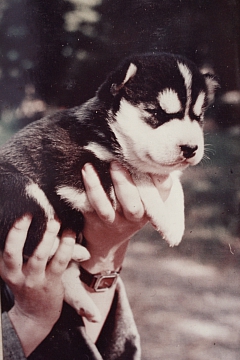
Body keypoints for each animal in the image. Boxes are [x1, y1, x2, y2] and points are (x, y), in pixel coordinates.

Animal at [0, 52, 218, 316]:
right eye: (156, 113)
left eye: (198, 117)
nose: (190, 148)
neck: (107, 131)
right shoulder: (72, 166)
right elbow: (138, 175)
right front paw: (165, 219)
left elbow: (172, 183)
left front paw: (176, 222)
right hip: (18, 187)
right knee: (34, 241)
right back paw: (75, 251)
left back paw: (85, 305)